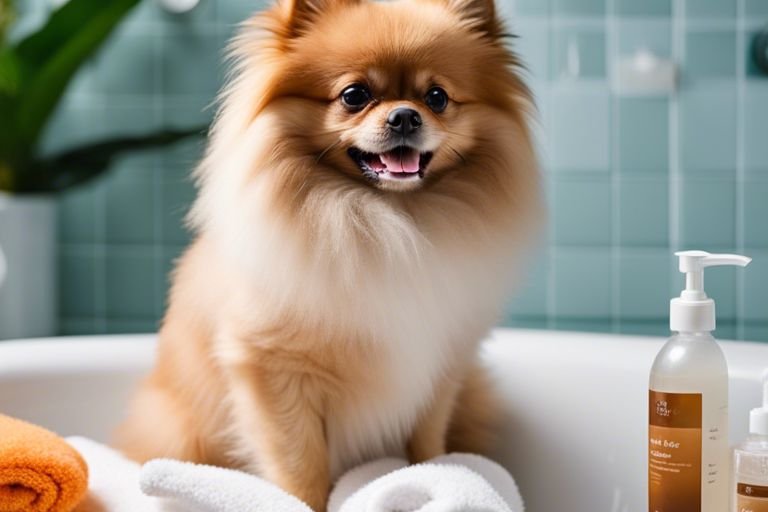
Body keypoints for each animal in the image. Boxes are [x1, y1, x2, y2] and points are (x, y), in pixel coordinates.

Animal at [117, 0, 540, 508]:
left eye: (437, 97)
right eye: (354, 95)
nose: (405, 116)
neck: (392, 223)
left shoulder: (440, 370)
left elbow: (426, 444)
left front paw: (436, 473)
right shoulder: (275, 372)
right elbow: (301, 465)